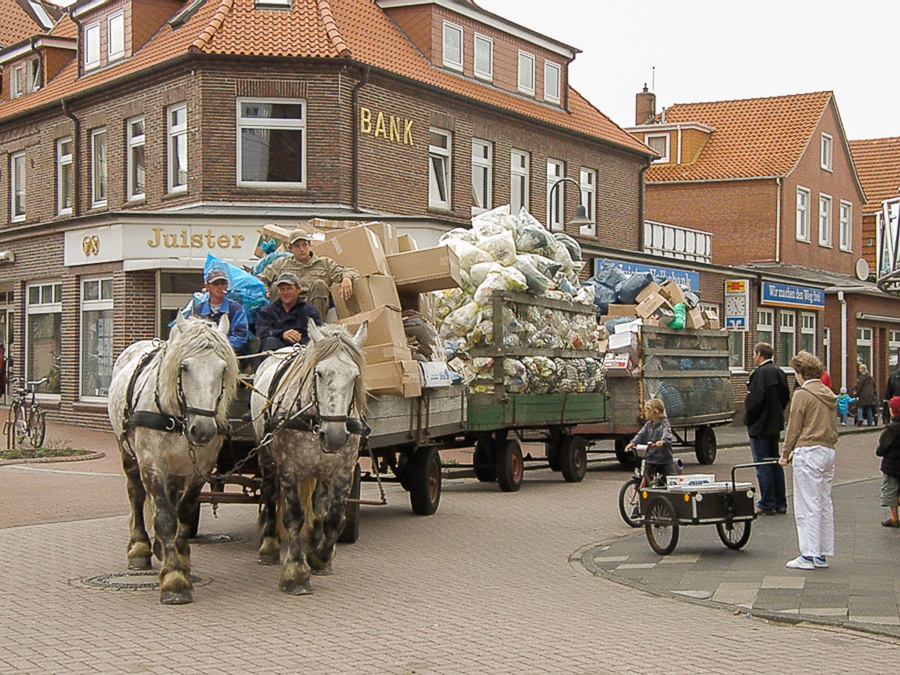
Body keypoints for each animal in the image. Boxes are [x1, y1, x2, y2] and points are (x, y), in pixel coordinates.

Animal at [107, 314, 239, 604]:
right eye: (184, 367)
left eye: (223, 369)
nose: (203, 430)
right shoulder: (152, 466)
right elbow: (165, 518)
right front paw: (174, 581)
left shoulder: (199, 469)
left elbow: (184, 513)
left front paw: (181, 562)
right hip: (127, 454)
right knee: (137, 495)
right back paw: (140, 549)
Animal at [250, 320, 366, 596]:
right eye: (319, 373)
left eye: (355, 376)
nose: (334, 436)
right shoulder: (289, 470)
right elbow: (293, 516)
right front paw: (295, 574)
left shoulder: (343, 470)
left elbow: (334, 519)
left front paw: (320, 557)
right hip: (266, 457)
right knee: (270, 495)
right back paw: (269, 547)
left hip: (321, 470)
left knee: (319, 504)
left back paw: (314, 540)